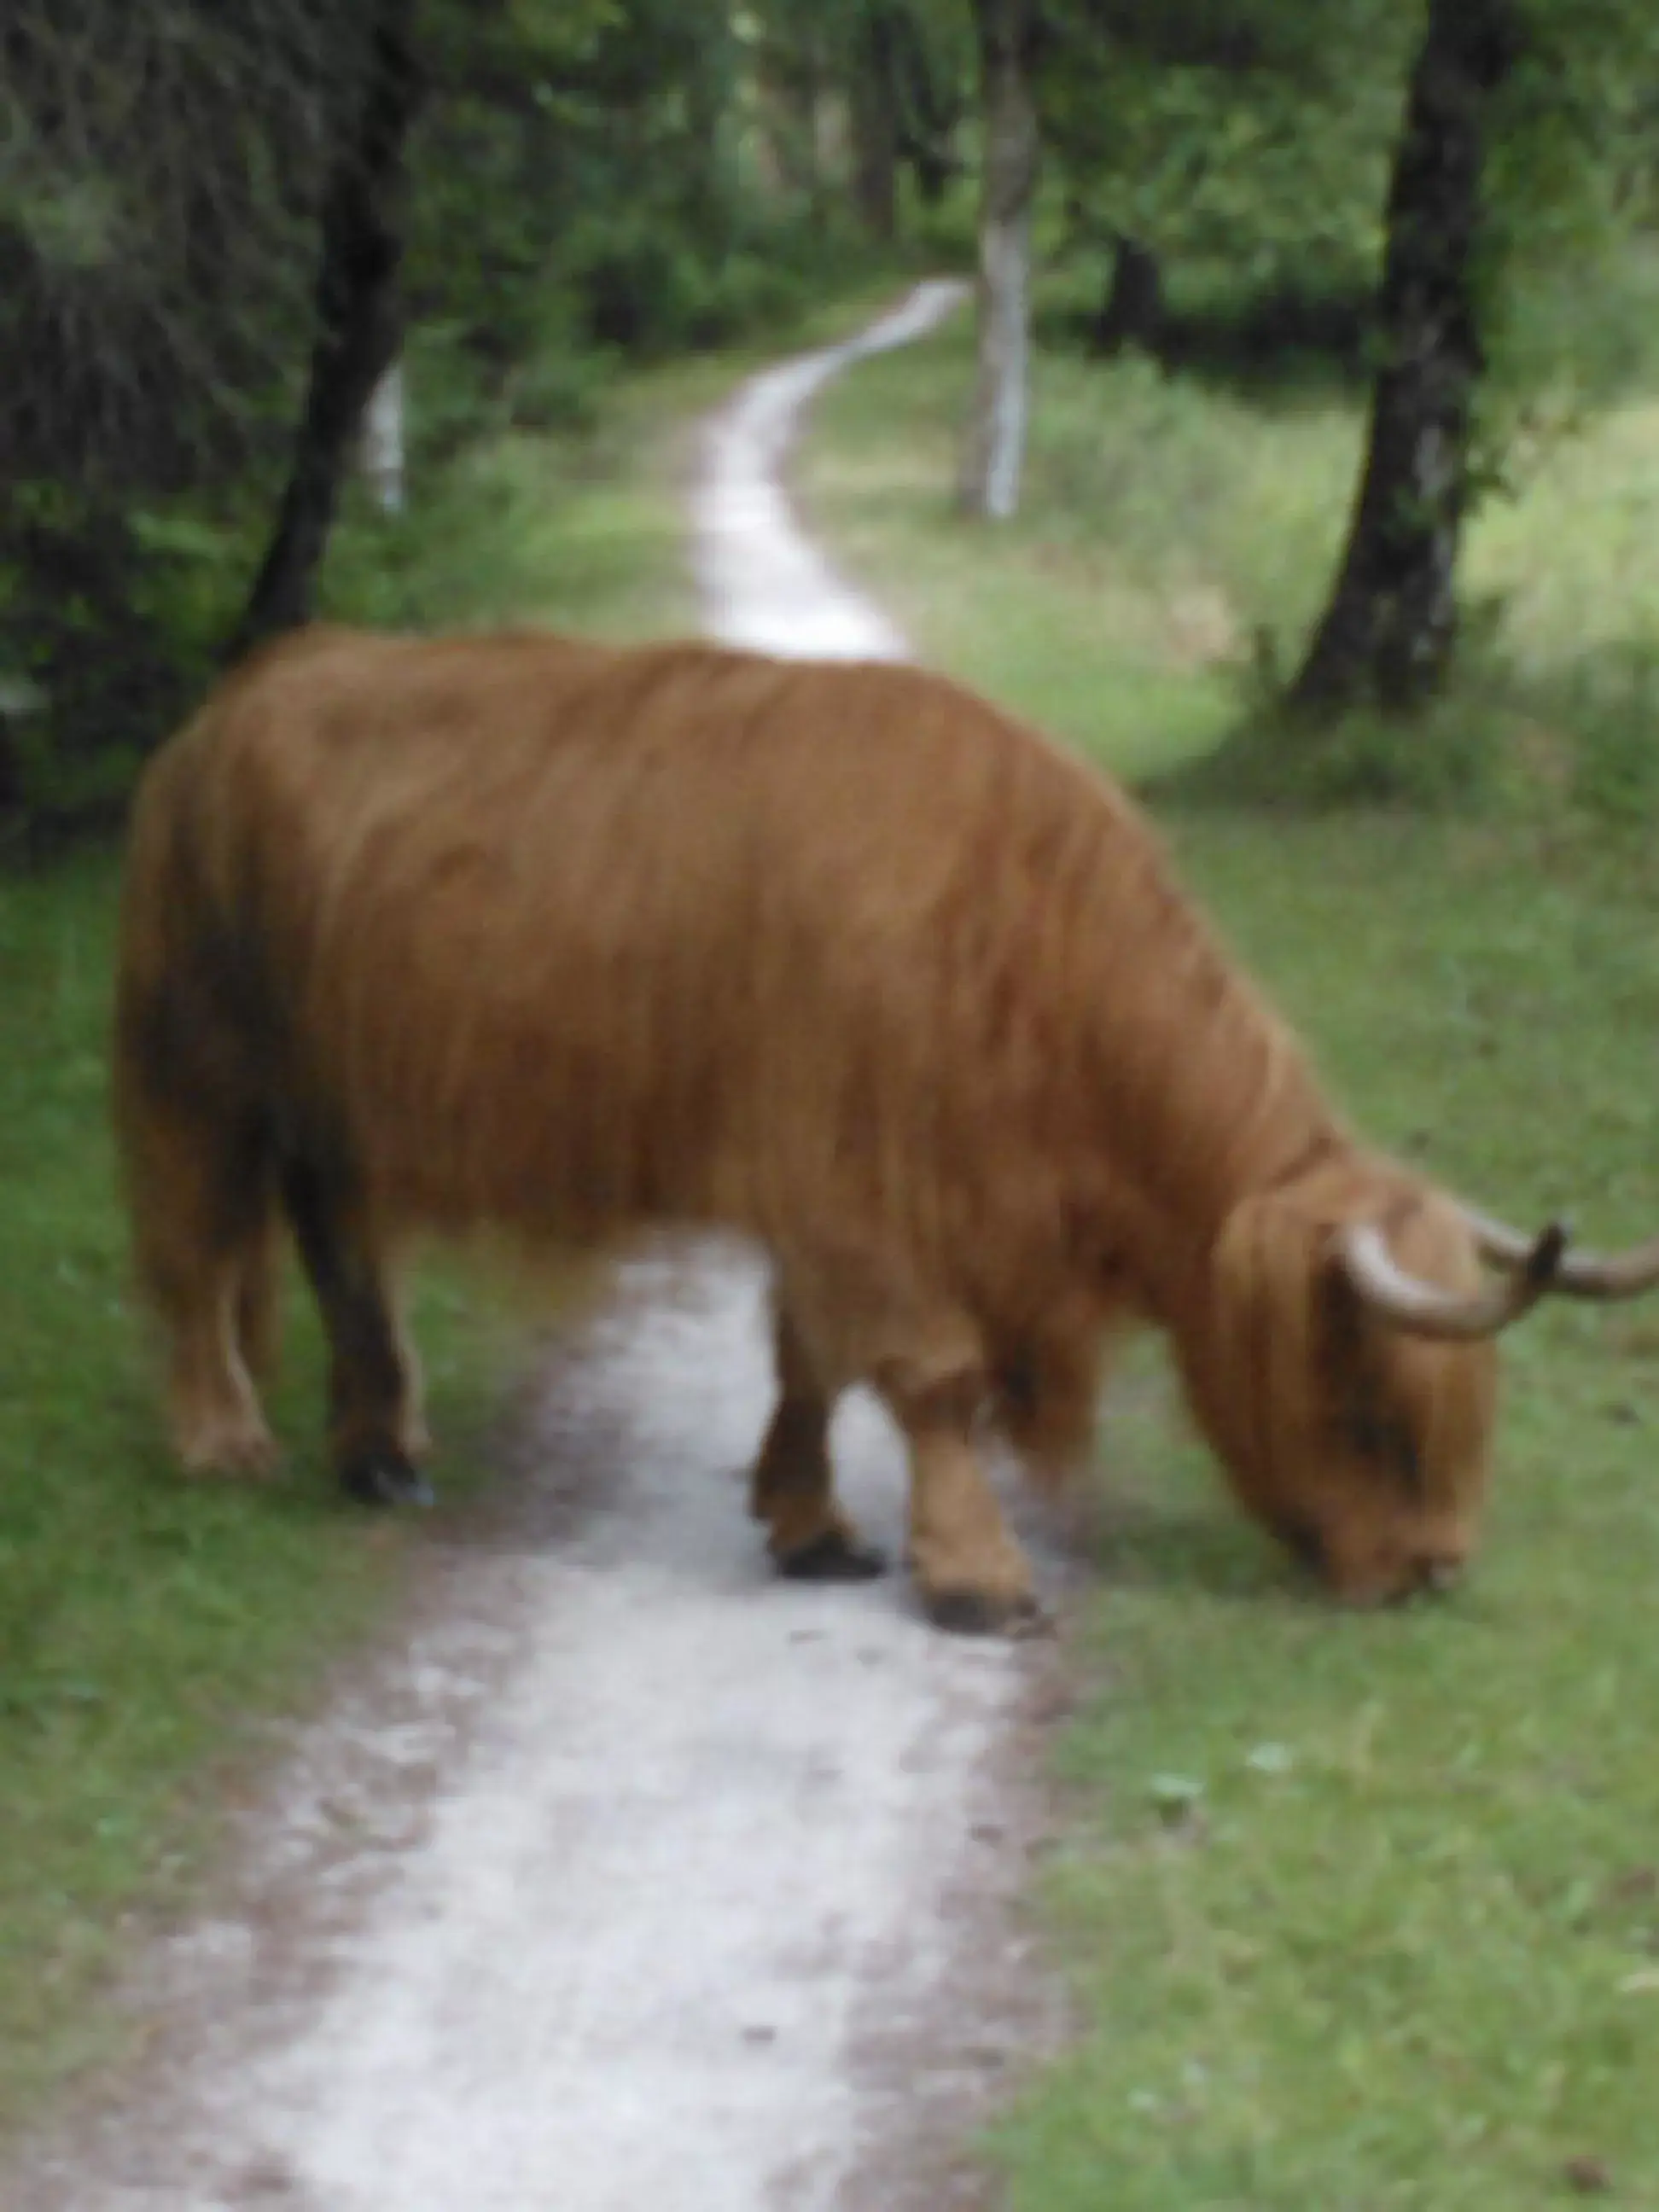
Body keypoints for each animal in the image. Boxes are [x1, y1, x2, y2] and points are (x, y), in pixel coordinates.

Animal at [114, 623, 1659, 1627]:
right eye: (1373, 1409)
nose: (1431, 1569)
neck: (1026, 948)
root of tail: (239, 697)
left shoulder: (840, 1200)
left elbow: (809, 1362)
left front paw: (809, 1524)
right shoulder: (854, 1190)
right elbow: (926, 1376)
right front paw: (975, 1572)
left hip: (333, 1093)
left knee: (339, 1239)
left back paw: (381, 1448)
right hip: (198, 1053)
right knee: (194, 1246)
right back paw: (224, 1440)